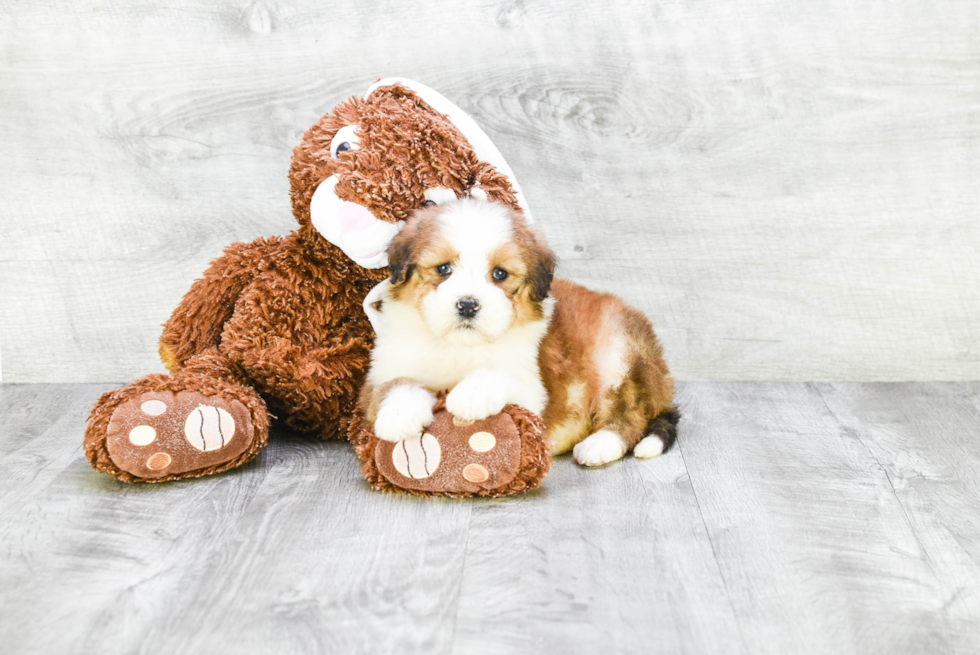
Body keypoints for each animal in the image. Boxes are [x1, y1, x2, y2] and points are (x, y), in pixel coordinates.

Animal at [356, 197, 676, 464]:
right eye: (443, 269)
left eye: (500, 274)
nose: (468, 305)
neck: (460, 345)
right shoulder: (381, 373)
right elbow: (395, 383)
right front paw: (399, 415)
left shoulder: (532, 388)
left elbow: (500, 374)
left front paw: (470, 395)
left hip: (619, 351)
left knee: (630, 412)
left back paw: (600, 445)